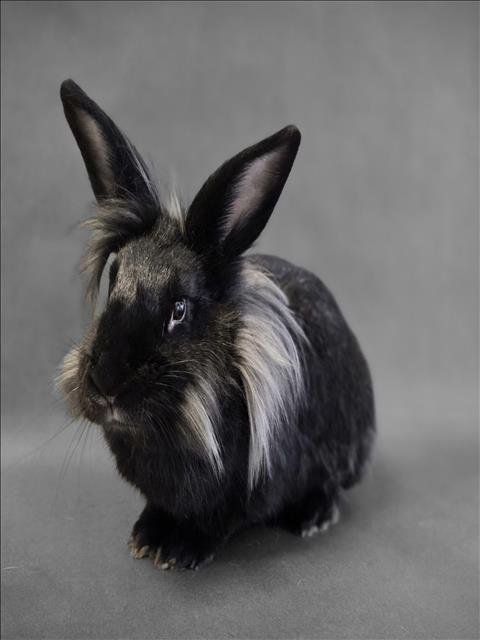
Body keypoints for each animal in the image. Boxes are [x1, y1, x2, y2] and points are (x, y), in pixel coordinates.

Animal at [57, 79, 375, 571]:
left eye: (180, 309)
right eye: (114, 282)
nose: (106, 384)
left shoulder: (240, 493)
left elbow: (217, 520)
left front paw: (179, 551)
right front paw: (145, 536)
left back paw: (312, 517)